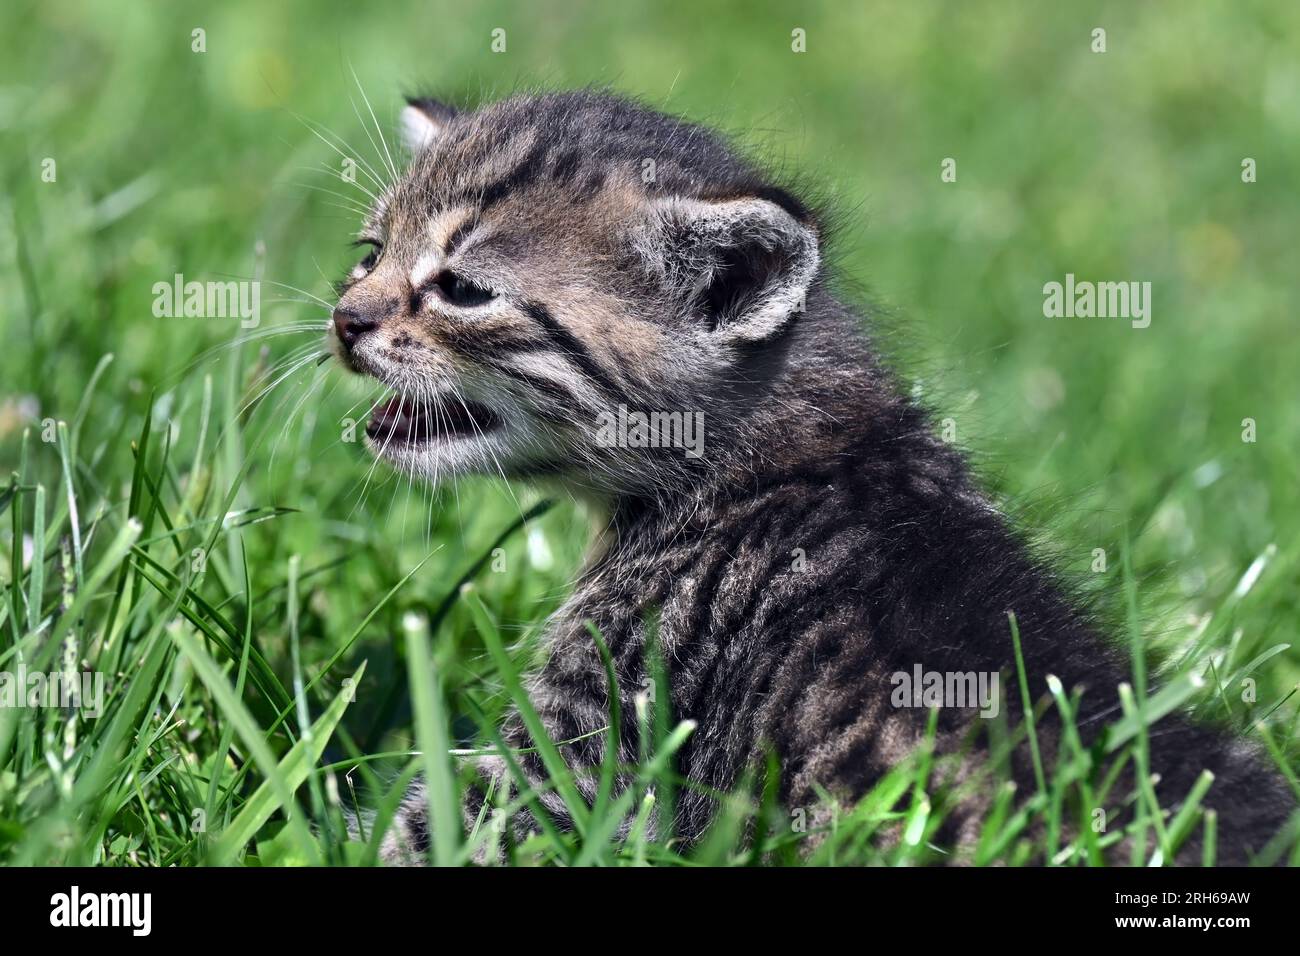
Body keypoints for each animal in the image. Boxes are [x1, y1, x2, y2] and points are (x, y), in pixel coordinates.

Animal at [332, 91, 1289, 868]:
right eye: (369, 253)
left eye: (462, 289)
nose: (344, 318)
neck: (754, 462)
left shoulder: (595, 735)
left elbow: (426, 828)